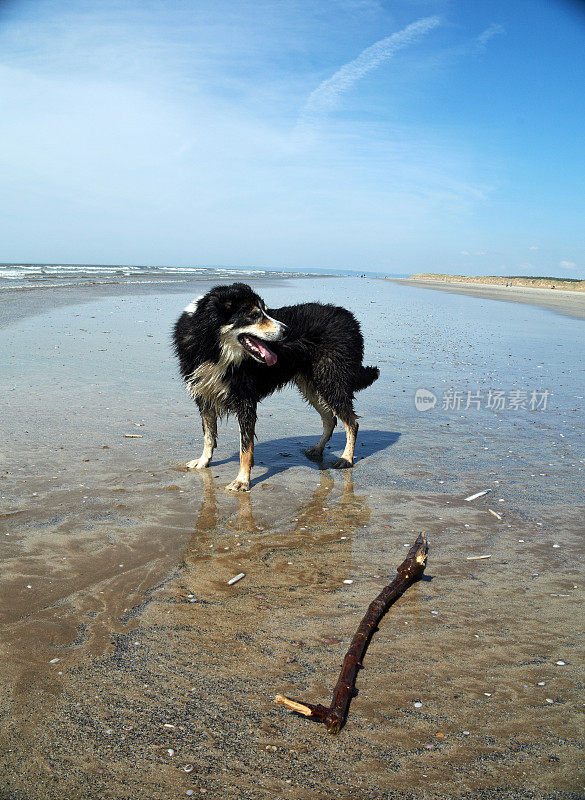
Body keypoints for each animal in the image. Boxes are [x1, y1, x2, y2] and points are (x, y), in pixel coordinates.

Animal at [173, 282, 378, 494]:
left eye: (265, 310)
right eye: (254, 315)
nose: (287, 330)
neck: (214, 349)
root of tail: (351, 320)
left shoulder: (245, 400)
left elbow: (245, 447)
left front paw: (242, 480)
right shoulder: (204, 396)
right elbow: (208, 435)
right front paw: (203, 461)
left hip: (331, 380)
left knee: (351, 422)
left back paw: (346, 458)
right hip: (312, 386)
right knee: (330, 419)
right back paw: (317, 449)